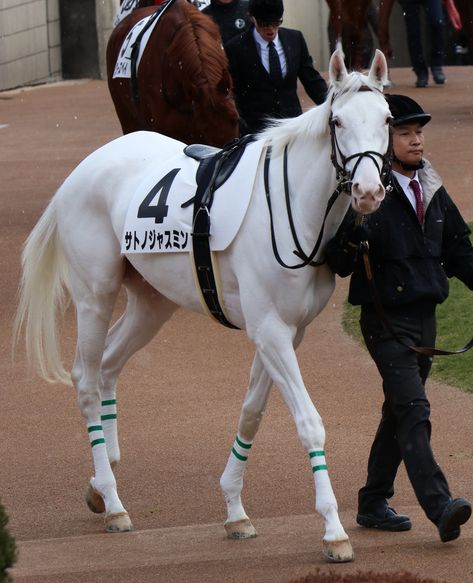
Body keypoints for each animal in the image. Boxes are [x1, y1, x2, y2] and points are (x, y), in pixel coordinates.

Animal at [14, 51, 390, 564]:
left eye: (387, 119)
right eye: (338, 121)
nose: (369, 192)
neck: (292, 206)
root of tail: (83, 168)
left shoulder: (287, 333)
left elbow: (251, 413)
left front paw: (235, 510)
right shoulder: (270, 331)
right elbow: (309, 424)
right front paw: (333, 530)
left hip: (152, 303)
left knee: (109, 366)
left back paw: (100, 480)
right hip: (96, 294)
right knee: (87, 381)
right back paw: (113, 501)